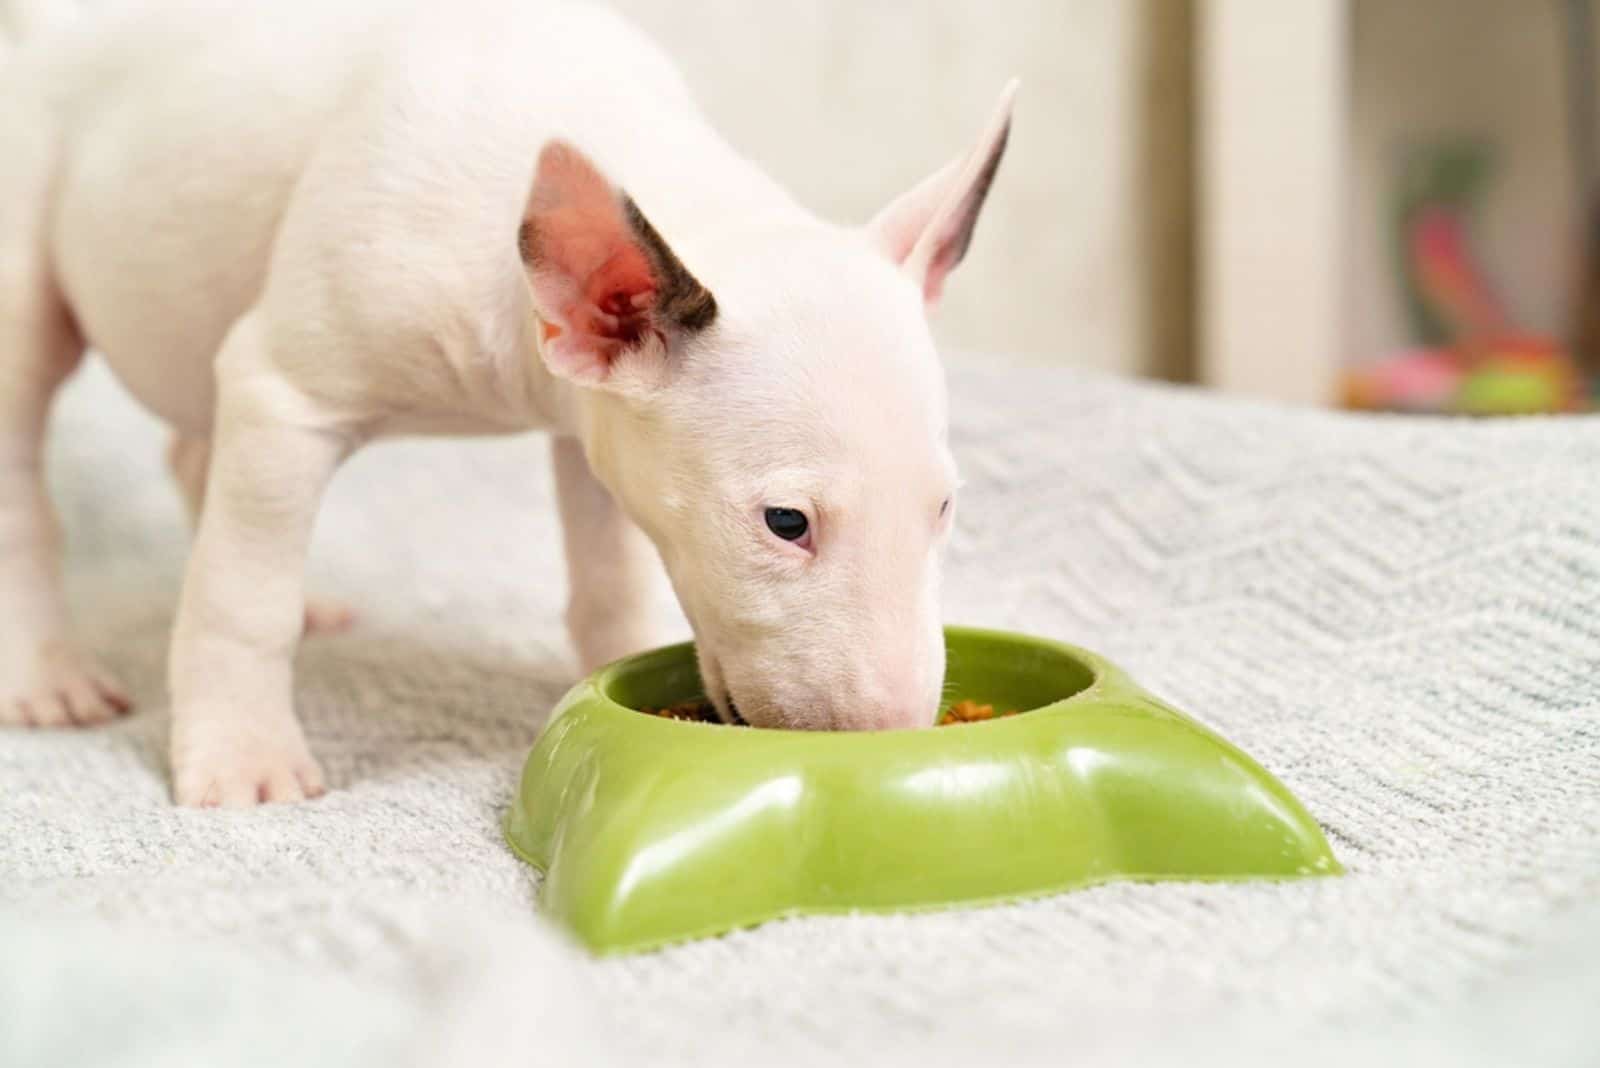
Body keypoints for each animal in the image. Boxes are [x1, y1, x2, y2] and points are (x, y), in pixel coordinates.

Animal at [0, 0, 1017, 799]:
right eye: (785, 523)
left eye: (944, 508)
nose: (889, 732)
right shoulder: (284, 392)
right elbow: (242, 600)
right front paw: (243, 760)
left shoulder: (594, 426)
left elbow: (609, 580)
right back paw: (47, 676)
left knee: (195, 453)